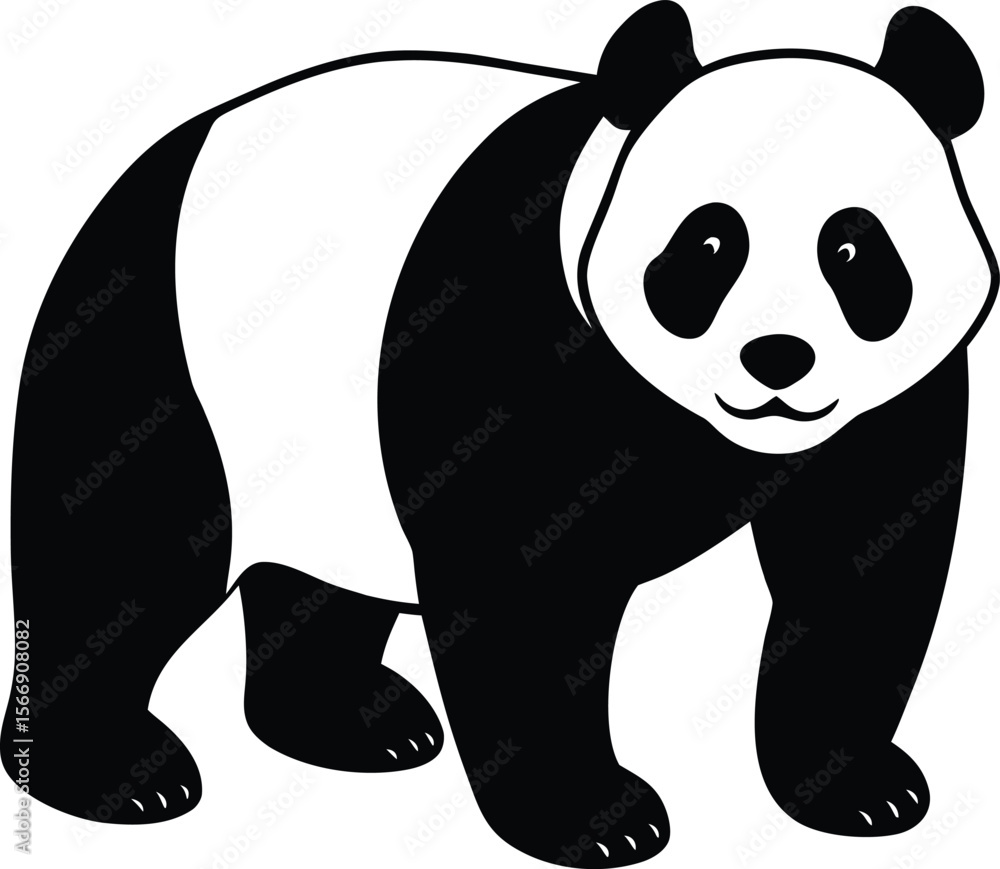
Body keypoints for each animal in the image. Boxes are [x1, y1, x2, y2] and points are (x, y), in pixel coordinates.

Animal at [3, 3, 995, 867]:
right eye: (711, 245)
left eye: (854, 250)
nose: (778, 358)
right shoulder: (511, 331)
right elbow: (519, 583)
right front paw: (599, 819)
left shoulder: (898, 399)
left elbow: (859, 564)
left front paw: (859, 788)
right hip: (155, 361)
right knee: (124, 558)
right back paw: (120, 775)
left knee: (312, 586)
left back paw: (355, 721)